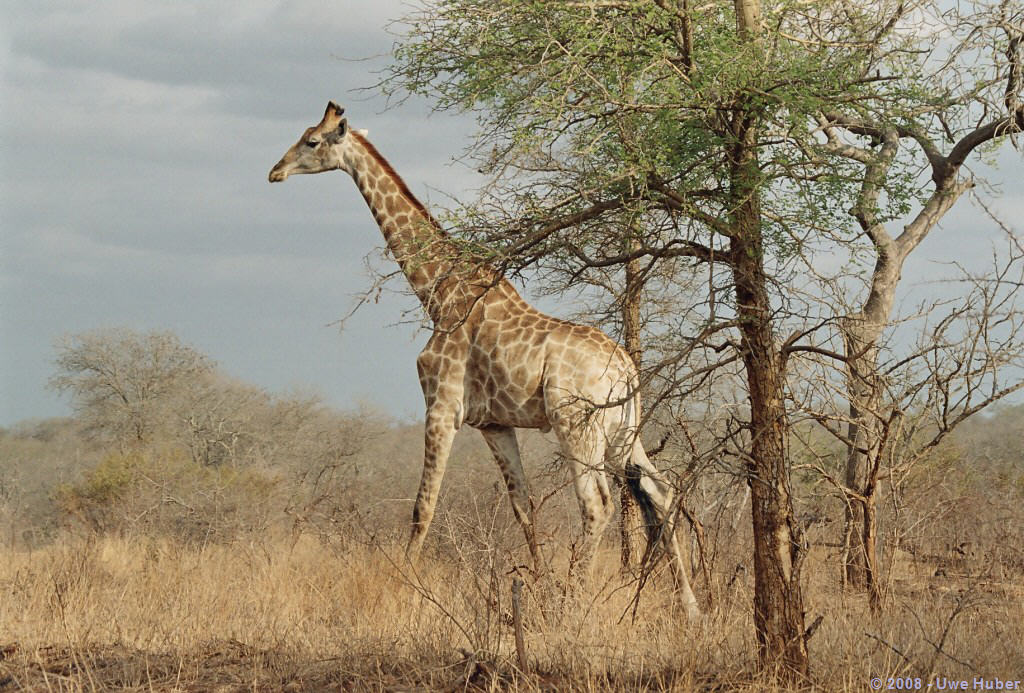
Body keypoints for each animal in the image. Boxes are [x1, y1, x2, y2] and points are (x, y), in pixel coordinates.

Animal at [268, 102, 700, 618]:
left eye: (311, 141)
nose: (275, 171)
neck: (437, 295)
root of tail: (627, 369)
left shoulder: (442, 407)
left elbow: (424, 504)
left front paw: (405, 584)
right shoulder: (494, 423)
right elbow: (523, 506)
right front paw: (538, 584)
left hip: (577, 424)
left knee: (596, 502)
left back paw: (576, 601)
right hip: (624, 431)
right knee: (662, 489)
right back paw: (690, 606)